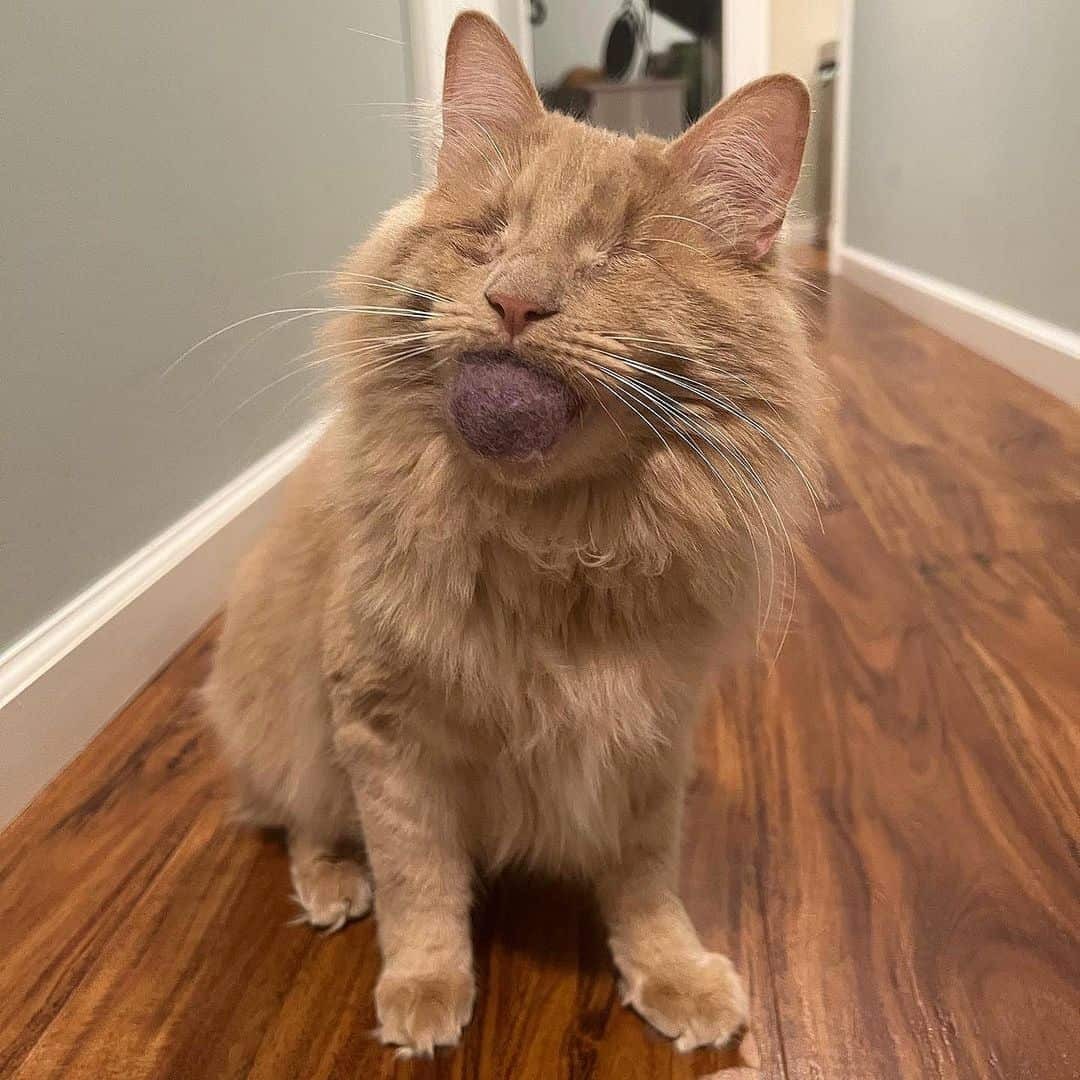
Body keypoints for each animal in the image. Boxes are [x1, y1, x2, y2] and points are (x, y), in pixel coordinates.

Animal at [206, 8, 820, 1054]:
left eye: (617, 257)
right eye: (488, 236)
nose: (514, 302)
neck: (555, 548)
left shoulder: (651, 735)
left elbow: (647, 881)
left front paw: (671, 972)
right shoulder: (381, 727)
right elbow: (419, 878)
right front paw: (423, 985)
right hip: (288, 717)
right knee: (297, 815)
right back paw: (332, 883)